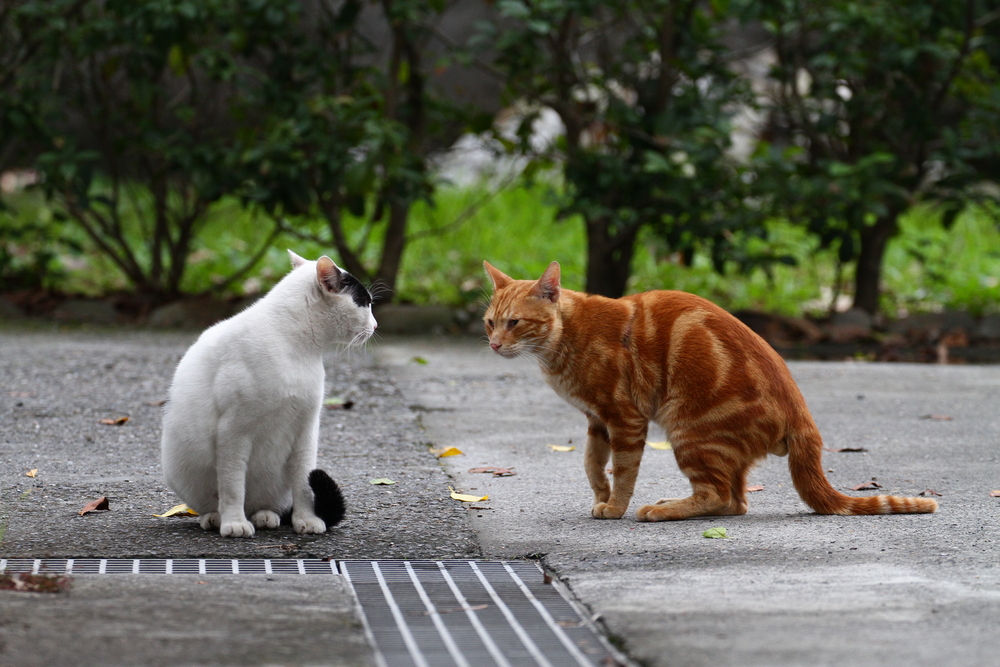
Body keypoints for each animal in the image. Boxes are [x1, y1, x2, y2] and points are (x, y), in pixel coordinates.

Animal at [162, 250, 376, 536]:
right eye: (366, 303)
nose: (376, 325)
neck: (294, 345)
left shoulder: (306, 430)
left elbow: (304, 485)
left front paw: (306, 519)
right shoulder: (233, 432)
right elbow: (232, 485)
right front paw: (234, 523)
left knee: (266, 504)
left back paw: (265, 516)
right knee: (218, 501)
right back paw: (219, 518)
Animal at [484, 260, 936, 520]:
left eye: (515, 323)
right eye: (491, 322)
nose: (493, 345)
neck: (564, 341)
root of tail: (802, 415)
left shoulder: (625, 418)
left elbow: (623, 470)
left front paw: (615, 507)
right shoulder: (597, 420)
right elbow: (593, 465)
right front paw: (602, 495)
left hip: (690, 430)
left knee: (718, 496)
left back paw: (659, 511)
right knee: (735, 502)